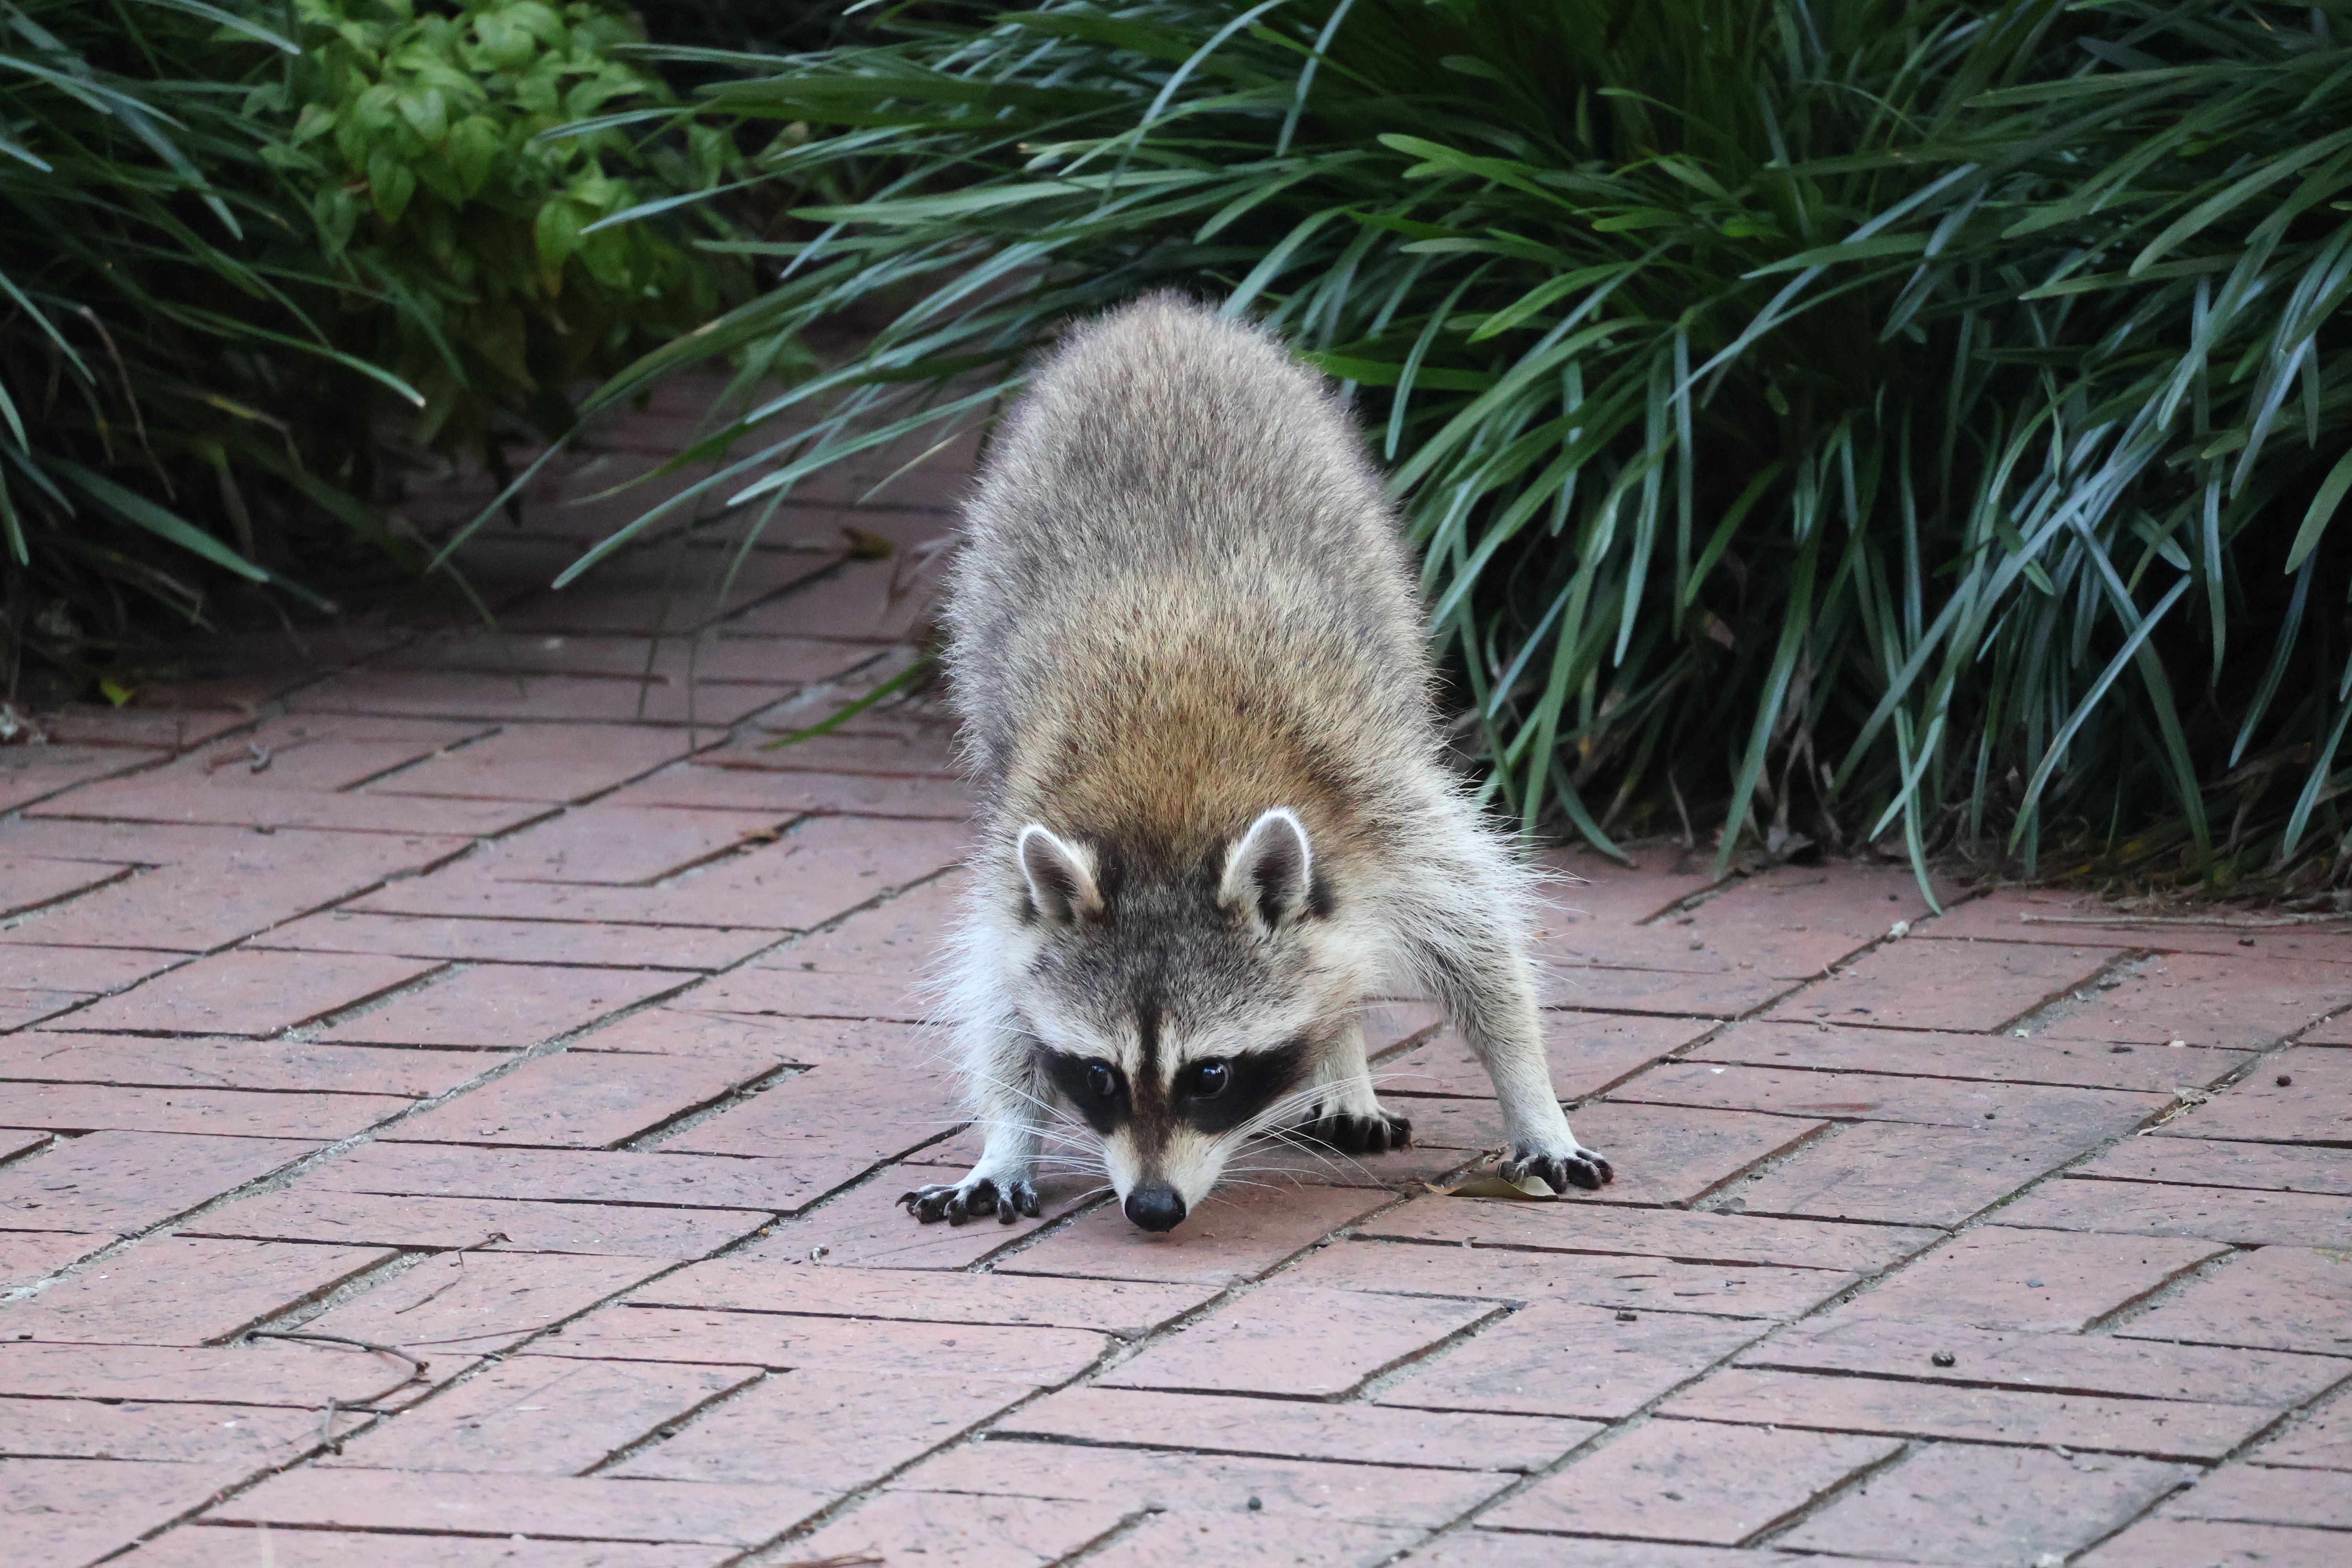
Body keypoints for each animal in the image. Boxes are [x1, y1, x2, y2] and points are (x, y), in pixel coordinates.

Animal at [901, 294, 1614, 1233]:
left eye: (1210, 1076)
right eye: (1099, 1076)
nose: (1153, 1208)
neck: (1166, 818)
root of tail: (1157, 317)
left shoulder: (1383, 803)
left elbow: (1482, 944)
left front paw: (1531, 1096)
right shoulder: (1016, 843)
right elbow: (998, 989)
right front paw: (1007, 1134)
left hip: (1370, 549)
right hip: (982, 588)